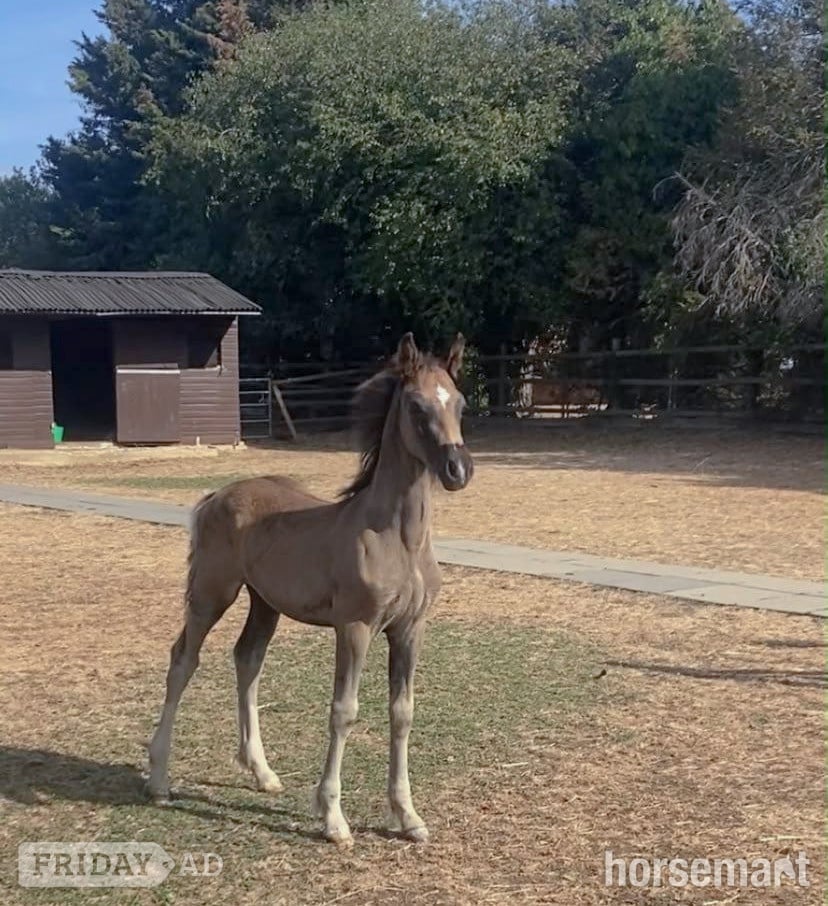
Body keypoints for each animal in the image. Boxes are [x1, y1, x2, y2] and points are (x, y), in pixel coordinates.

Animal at [147, 332, 473, 846]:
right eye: (417, 406)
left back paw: (262, 772)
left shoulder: (409, 630)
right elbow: (344, 710)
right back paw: (159, 779)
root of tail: (215, 495)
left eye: (459, 403)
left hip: (264, 603)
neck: (398, 539)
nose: (458, 469)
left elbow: (402, 712)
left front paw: (408, 816)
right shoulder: (355, 627)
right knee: (183, 660)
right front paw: (333, 818)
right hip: (212, 593)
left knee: (248, 660)